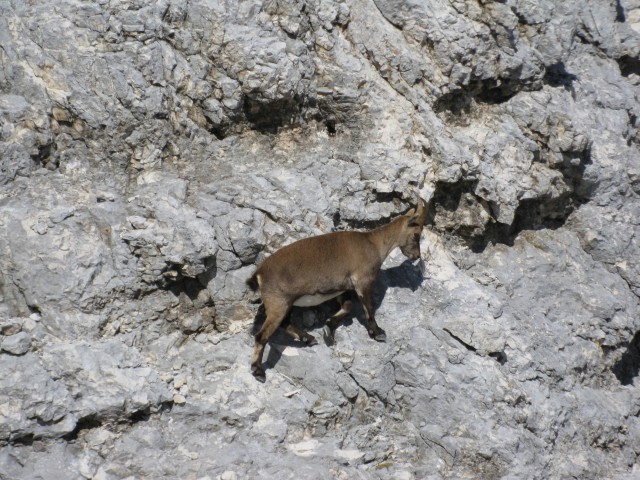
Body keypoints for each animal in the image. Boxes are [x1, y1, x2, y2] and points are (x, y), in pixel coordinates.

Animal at [248, 195, 428, 382]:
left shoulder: (343, 289)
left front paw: (329, 328)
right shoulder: (363, 281)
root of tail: (259, 274)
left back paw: (308, 338)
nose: (416, 256)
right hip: (278, 303)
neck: (374, 243)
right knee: (262, 336)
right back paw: (258, 371)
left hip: (286, 303)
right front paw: (377, 332)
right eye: (417, 234)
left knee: (284, 323)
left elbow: (347, 306)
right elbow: (369, 308)